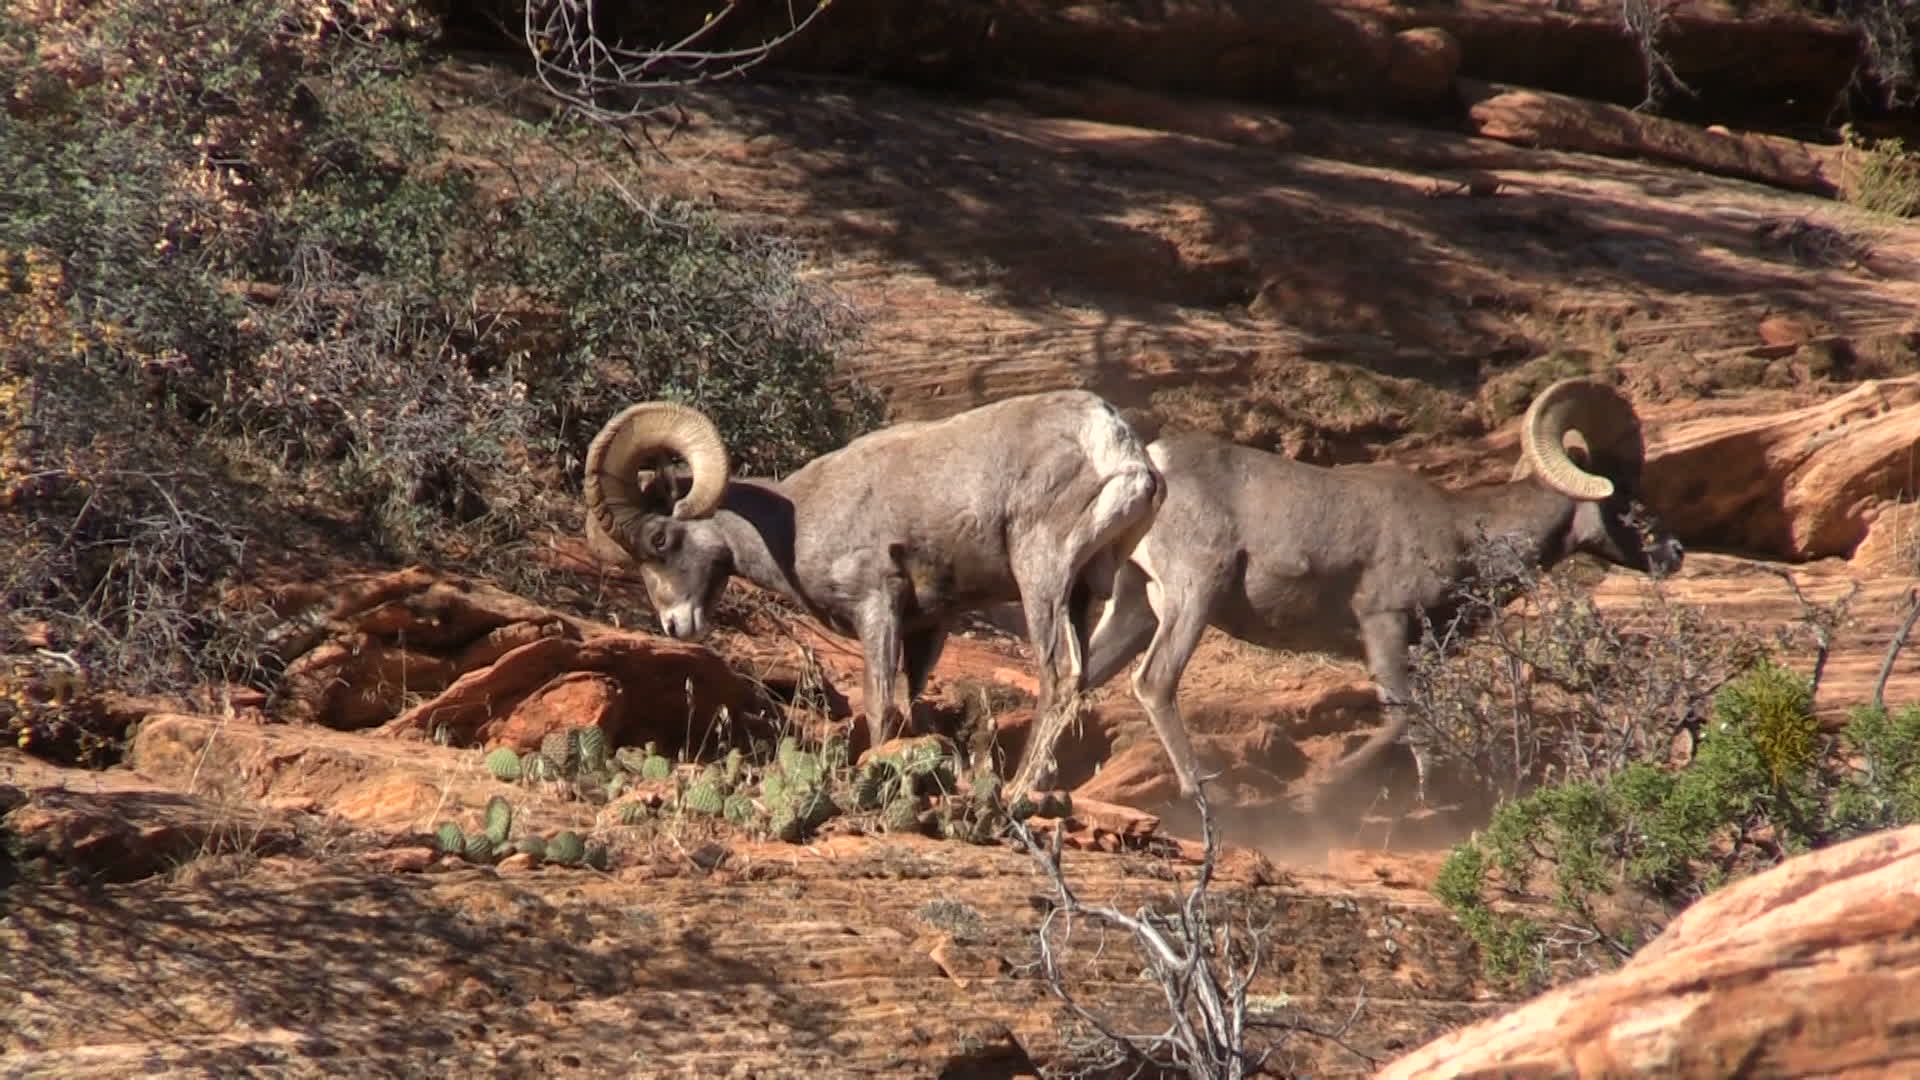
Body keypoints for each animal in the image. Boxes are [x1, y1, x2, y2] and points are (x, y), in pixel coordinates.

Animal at [581, 390, 1166, 796]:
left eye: (659, 540)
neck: (795, 521)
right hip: (1083, 594)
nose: (674, 625)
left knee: (1058, 677)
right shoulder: (929, 625)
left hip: (1041, 577)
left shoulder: (876, 609)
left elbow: (881, 707)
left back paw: (1021, 788)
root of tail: (1121, 450)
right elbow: (913, 706)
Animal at [1075, 377, 1684, 805]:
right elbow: (1402, 717)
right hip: (1193, 595)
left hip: (1135, 609)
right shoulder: (1384, 623)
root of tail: (1152, 467)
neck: (1467, 532)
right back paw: (1207, 794)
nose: (1673, 552)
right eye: (1622, 489)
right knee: (1155, 683)